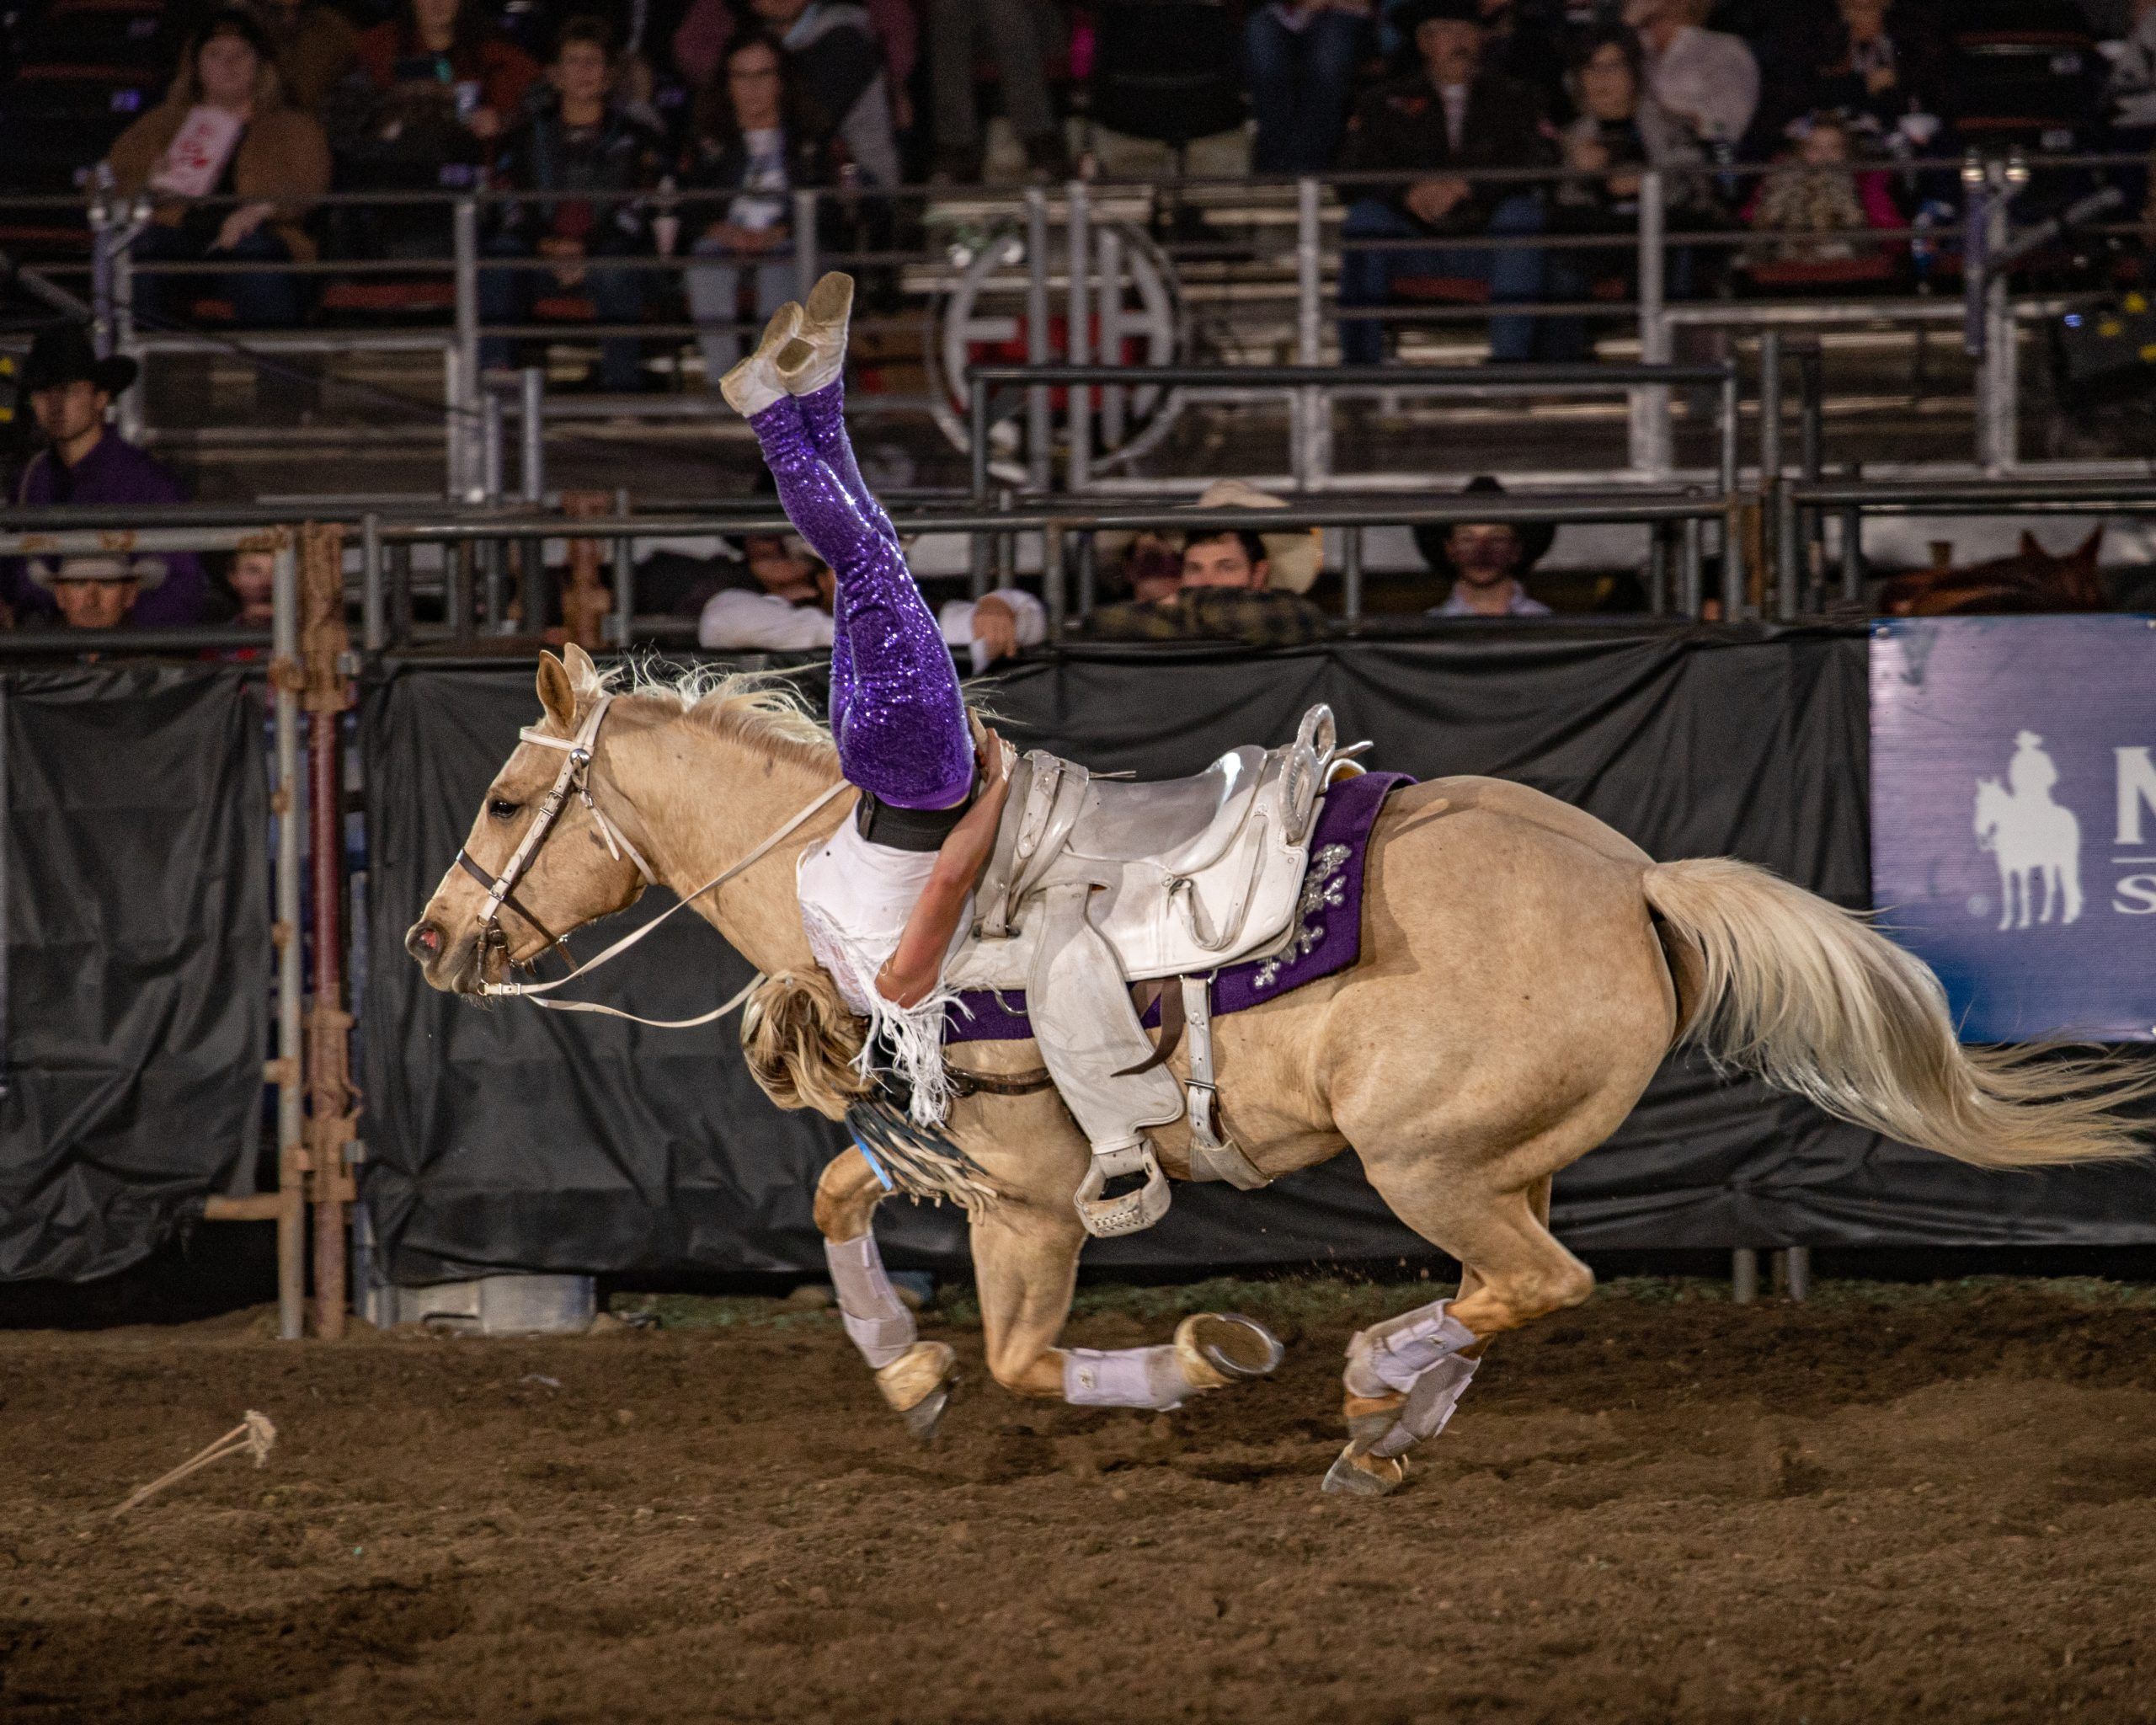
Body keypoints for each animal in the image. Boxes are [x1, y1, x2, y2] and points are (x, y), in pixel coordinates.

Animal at [407, 651, 2156, 1492]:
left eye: (500, 799)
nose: (428, 939)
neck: (882, 885)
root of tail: (1638, 881)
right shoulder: (952, 1164)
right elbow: (842, 1199)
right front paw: (903, 1372)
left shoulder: (1032, 1201)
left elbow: (1030, 1360)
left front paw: (1199, 1362)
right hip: (1496, 1159)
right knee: (1517, 1286)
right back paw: (1386, 1423)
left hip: (1428, 1156)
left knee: (1542, 1284)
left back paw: (1373, 1383)